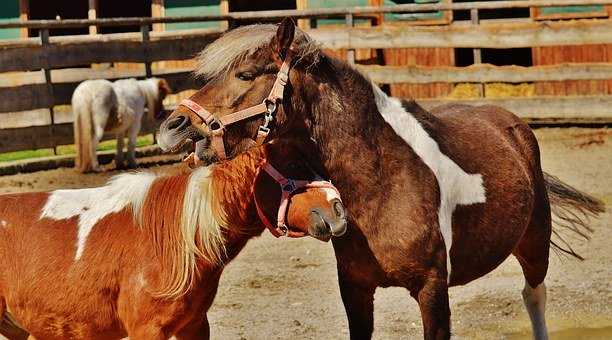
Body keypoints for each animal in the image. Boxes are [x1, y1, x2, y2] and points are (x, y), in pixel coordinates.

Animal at [158, 19, 608, 338]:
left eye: (247, 74)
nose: (172, 126)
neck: (384, 183)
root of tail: (511, 122)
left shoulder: (432, 291)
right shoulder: (356, 291)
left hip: (534, 244)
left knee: (534, 297)